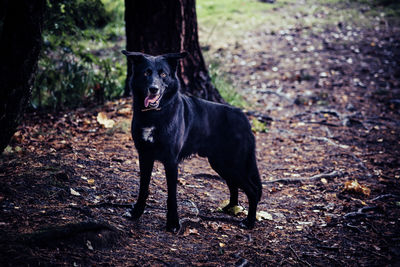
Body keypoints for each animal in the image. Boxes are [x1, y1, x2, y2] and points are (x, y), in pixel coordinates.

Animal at [121, 50, 262, 232]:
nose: (154, 89)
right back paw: (231, 208)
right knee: (234, 185)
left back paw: (249, 222)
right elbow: (143, 189)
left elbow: (171, 196)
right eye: (146, 73)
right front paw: (136, 213)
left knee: (253, 191)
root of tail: (243, 117)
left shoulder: (171, 162)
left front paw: (173, 223)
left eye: (163, 74)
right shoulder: (144, 156)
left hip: (233, 164)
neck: (154, 115)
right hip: (221, 164)